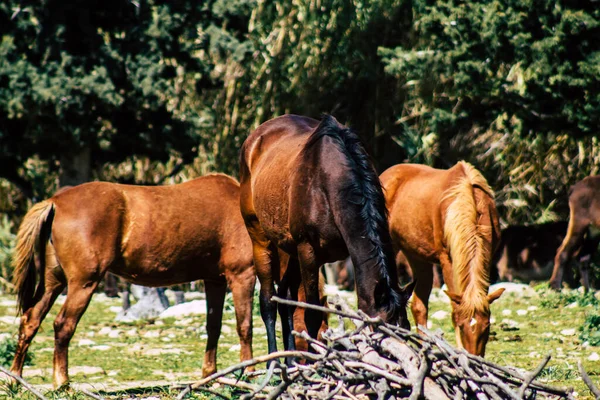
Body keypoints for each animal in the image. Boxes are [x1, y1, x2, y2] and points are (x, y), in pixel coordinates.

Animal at [9, 175, 256, 388]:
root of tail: (56, 202)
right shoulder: (243, 275)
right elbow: (245, 326)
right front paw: (249, 373)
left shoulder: (214, 281)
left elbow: (213, 327)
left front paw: (210, 376)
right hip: (83, 284)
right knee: (63, 325)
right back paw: (62, 382)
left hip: (53, 283)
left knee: (31, 321)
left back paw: (15, 379)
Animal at [239, 114, 412, 354]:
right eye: (382, 338)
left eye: (406, 329)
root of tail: (253, 139)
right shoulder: (308, 252)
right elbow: (312, 314)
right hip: (260, 239)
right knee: (268, 301)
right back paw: (273, 359)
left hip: (291, 249)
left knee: (285, 298)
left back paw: (291, 360)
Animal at [382, 162, 504, 356]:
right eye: (461, 327)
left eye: (487, 327)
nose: (474, 357)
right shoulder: (447, 261)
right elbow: (455, 309)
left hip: (417, 257)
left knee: (419, 307)